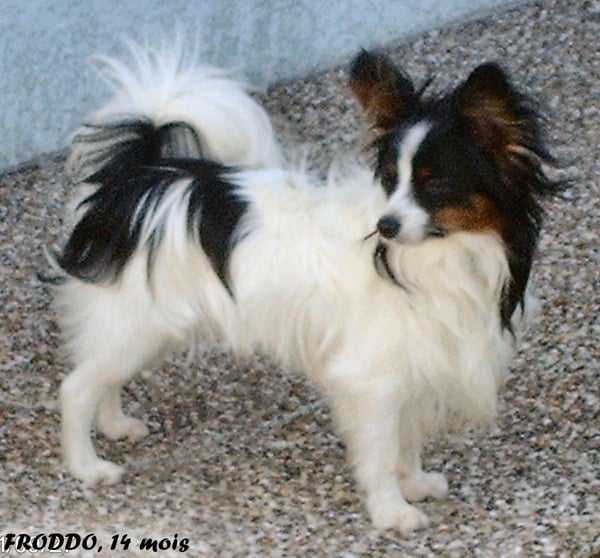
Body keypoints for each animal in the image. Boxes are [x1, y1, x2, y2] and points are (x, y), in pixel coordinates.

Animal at [54, 43, 556, 533]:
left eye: (436, 184)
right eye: (390, 181)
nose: (385, 226)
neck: (443, 254)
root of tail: (134, 177)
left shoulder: (413, 363)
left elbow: (407, 439)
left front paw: (413, 484)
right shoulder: (371, 379)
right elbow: (382, 450)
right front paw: (391, 512)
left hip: (150, 328)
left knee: (106, 380)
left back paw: (116, 426)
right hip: (134, 324)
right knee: (76, 389)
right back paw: (87, 467)